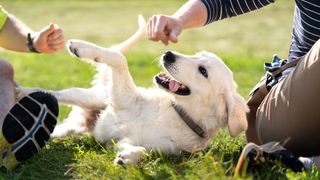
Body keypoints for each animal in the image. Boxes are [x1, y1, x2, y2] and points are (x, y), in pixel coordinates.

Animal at [16, 15, 248, 165]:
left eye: (203, 71)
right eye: (198, 54)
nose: (168, 54)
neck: (177, 113)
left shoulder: (128, 143)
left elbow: (144, 151)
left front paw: (128, 158)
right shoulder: (122, 98)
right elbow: (119, 58)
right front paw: (82, 47)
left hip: (71, 128)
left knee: (55, 128)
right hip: (91, 97)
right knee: (55, 93)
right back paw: (23, 90)